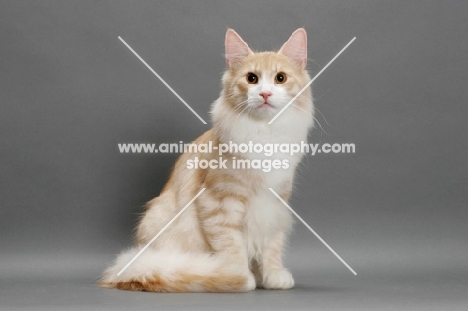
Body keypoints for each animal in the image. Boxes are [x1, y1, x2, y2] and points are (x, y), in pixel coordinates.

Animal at [102, 28, 314, 294]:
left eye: (280, 78)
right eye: (252, 78)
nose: (265, 93)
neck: (265, 132)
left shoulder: (276, 204)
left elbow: (272, 246)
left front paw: (273, 275)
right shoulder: (219, 201)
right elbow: (231, 246)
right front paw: (237, 276)